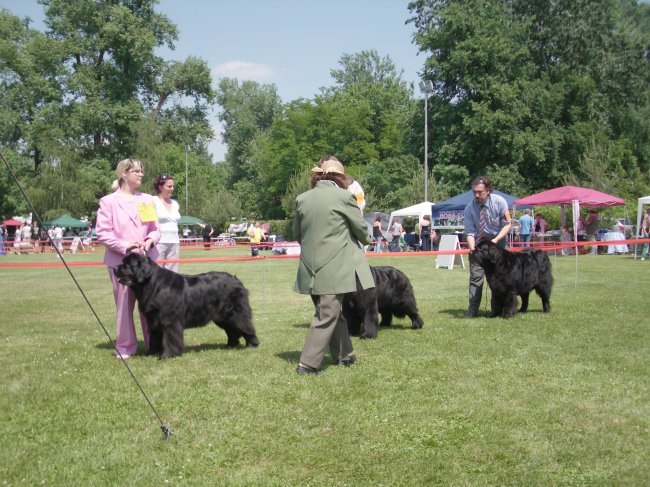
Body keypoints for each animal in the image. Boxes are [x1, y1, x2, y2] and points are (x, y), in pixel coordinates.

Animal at [114, 254, 258, 356]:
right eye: (123, 261)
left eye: (127, 264)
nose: (115, 268)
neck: (152, 285)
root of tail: (236, 279)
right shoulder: (153, 320)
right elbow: (154, 338)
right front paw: (151, 353)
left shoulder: (170, 321)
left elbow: (169, 339)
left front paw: (167, 355)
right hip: (222, 318)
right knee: (232, 331)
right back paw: (230, 345)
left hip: (236, 314)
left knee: (247, 327)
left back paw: (252, 344)